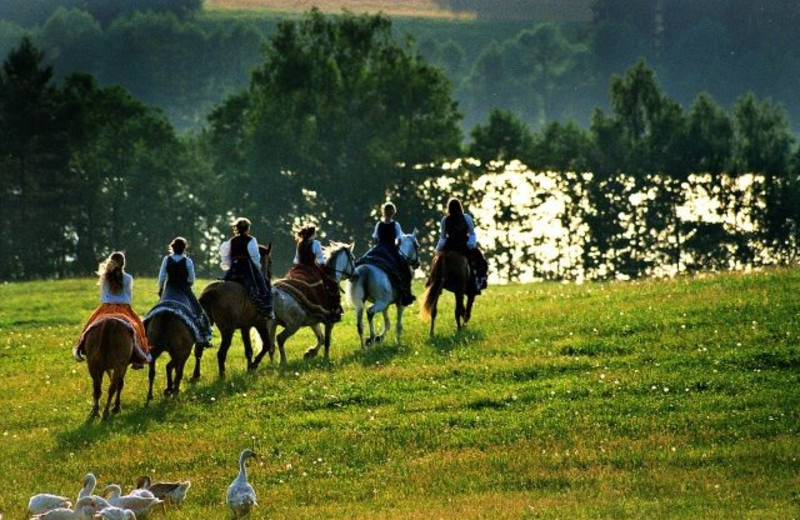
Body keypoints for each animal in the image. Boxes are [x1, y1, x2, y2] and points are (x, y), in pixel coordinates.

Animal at [197, 244, 276, 378]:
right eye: (270, 262)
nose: (268, 279)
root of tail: (214, 291)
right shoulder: (260, 324)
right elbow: (266, 345)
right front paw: (253, 365)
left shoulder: (245, 328)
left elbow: (248, 350)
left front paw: (249, 368)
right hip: (227, 331)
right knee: (221, 353)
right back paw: (222, 376)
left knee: (199, 349)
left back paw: (196, 375)